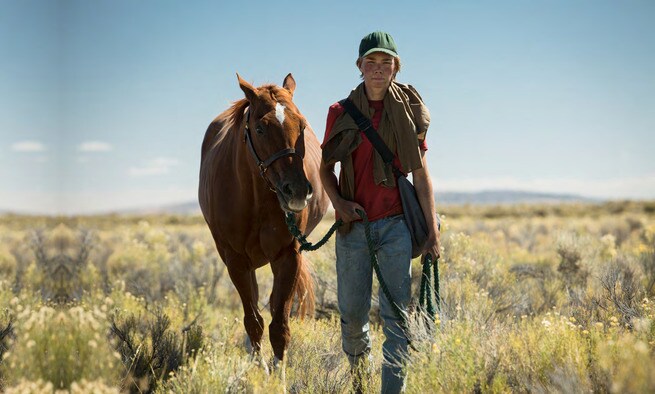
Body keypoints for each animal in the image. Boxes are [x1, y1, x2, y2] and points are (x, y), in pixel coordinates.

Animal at [196, 74, 326, 366]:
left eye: (301, 125)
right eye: (260, 129)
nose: (297, 190)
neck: (253, 197)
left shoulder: (288, 255)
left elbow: (279, 326)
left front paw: (279, 371)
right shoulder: (235, 260)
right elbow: (253, 321)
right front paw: (259, 367)